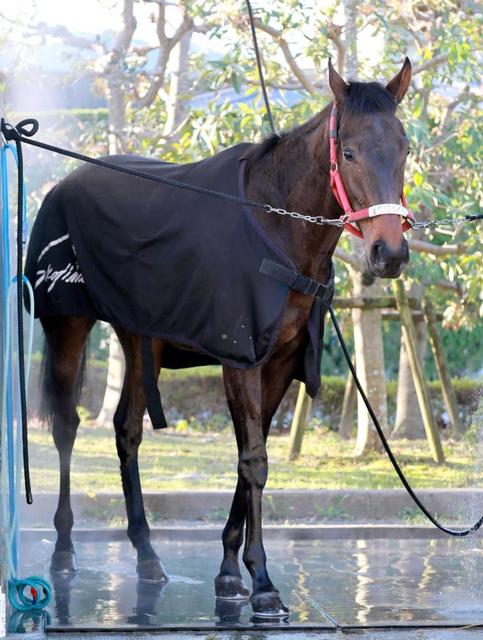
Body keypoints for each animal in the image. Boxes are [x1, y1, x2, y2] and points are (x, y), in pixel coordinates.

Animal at [27, 58, 413, 618]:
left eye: (404, 148)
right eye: (349, 152)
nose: (390, 253)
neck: (277, 224)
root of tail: (63, 184)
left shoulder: (278, 363)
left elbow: (249, 457)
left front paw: (231, 572)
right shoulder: (241, 359)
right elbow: (254, 461)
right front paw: (264, 581)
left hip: (140, 339)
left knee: (127, 431)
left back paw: (147, 556)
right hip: (67, 327)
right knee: (65, 427)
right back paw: (63, 550)